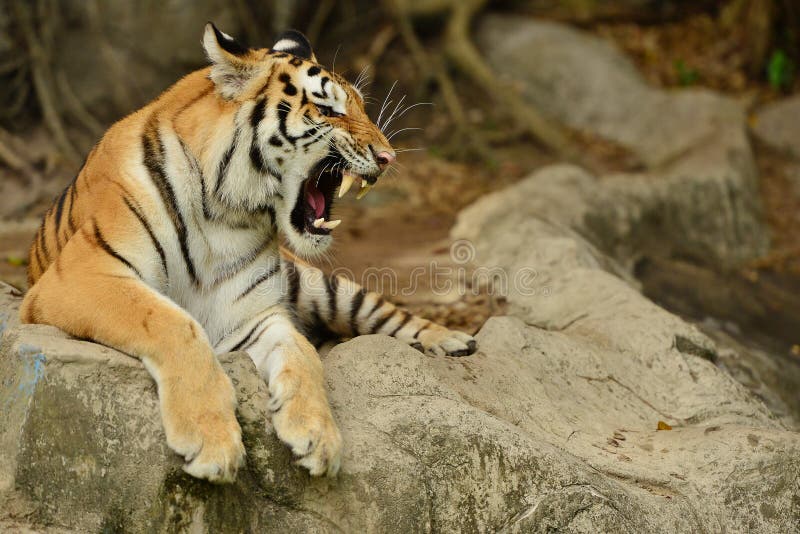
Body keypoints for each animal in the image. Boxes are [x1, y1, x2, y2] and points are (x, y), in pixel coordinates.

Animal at [20, 25, 476, 484]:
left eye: (361, 107)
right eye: (327, 109)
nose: (388, 157)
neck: (221, 213)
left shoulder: (251, 314)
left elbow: (303, 353)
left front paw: (319, 436)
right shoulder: (83, 273)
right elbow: (173, 322)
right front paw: (212, 443)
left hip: (321, 285)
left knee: (384, 311)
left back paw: (452, 340)